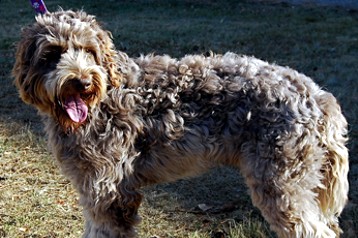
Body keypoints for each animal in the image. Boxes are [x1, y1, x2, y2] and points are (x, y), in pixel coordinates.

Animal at [14, 9, 350, 238]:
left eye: (89, 51)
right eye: (53, 53)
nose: (82, 82)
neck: (105, 93)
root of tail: (317, 95)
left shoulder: (109, 191)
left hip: (281, 182)